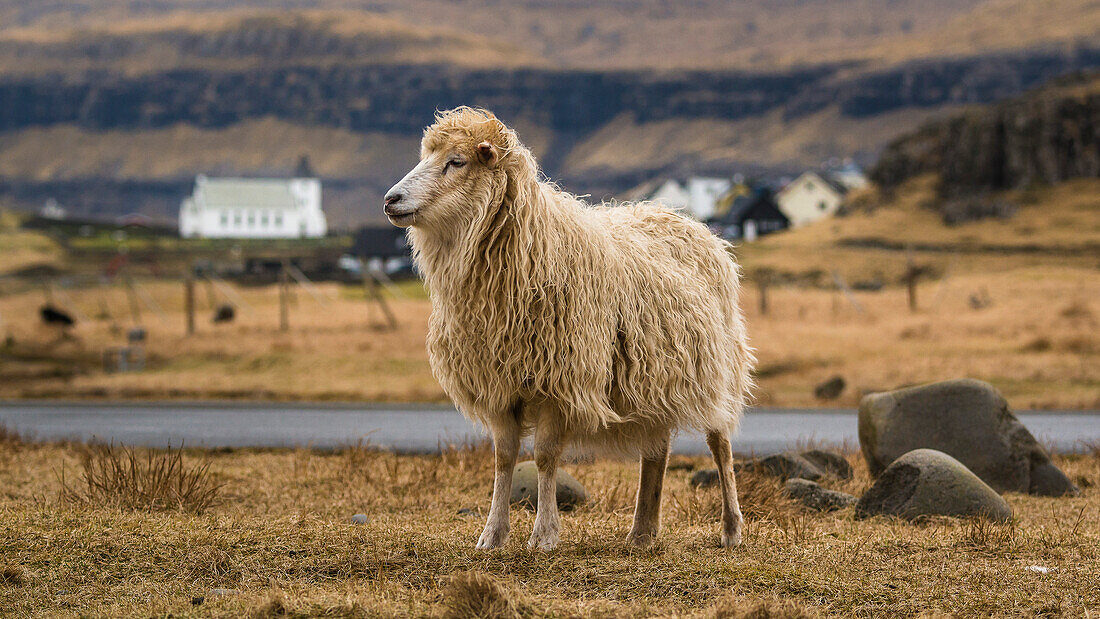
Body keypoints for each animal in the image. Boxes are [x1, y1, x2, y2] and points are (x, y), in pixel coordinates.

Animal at [382, 106, 752, 551]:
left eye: (457, 162)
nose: (390, 200)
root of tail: (682, 218)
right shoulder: (500, 384)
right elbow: (504, 459)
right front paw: (492, 536)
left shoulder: (560, 381)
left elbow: (544, 457)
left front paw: (543, 535)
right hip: (654, 375)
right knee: (656, 449)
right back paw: (642, 532)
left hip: (719, 368)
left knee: (721, 446)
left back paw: (731, 529)